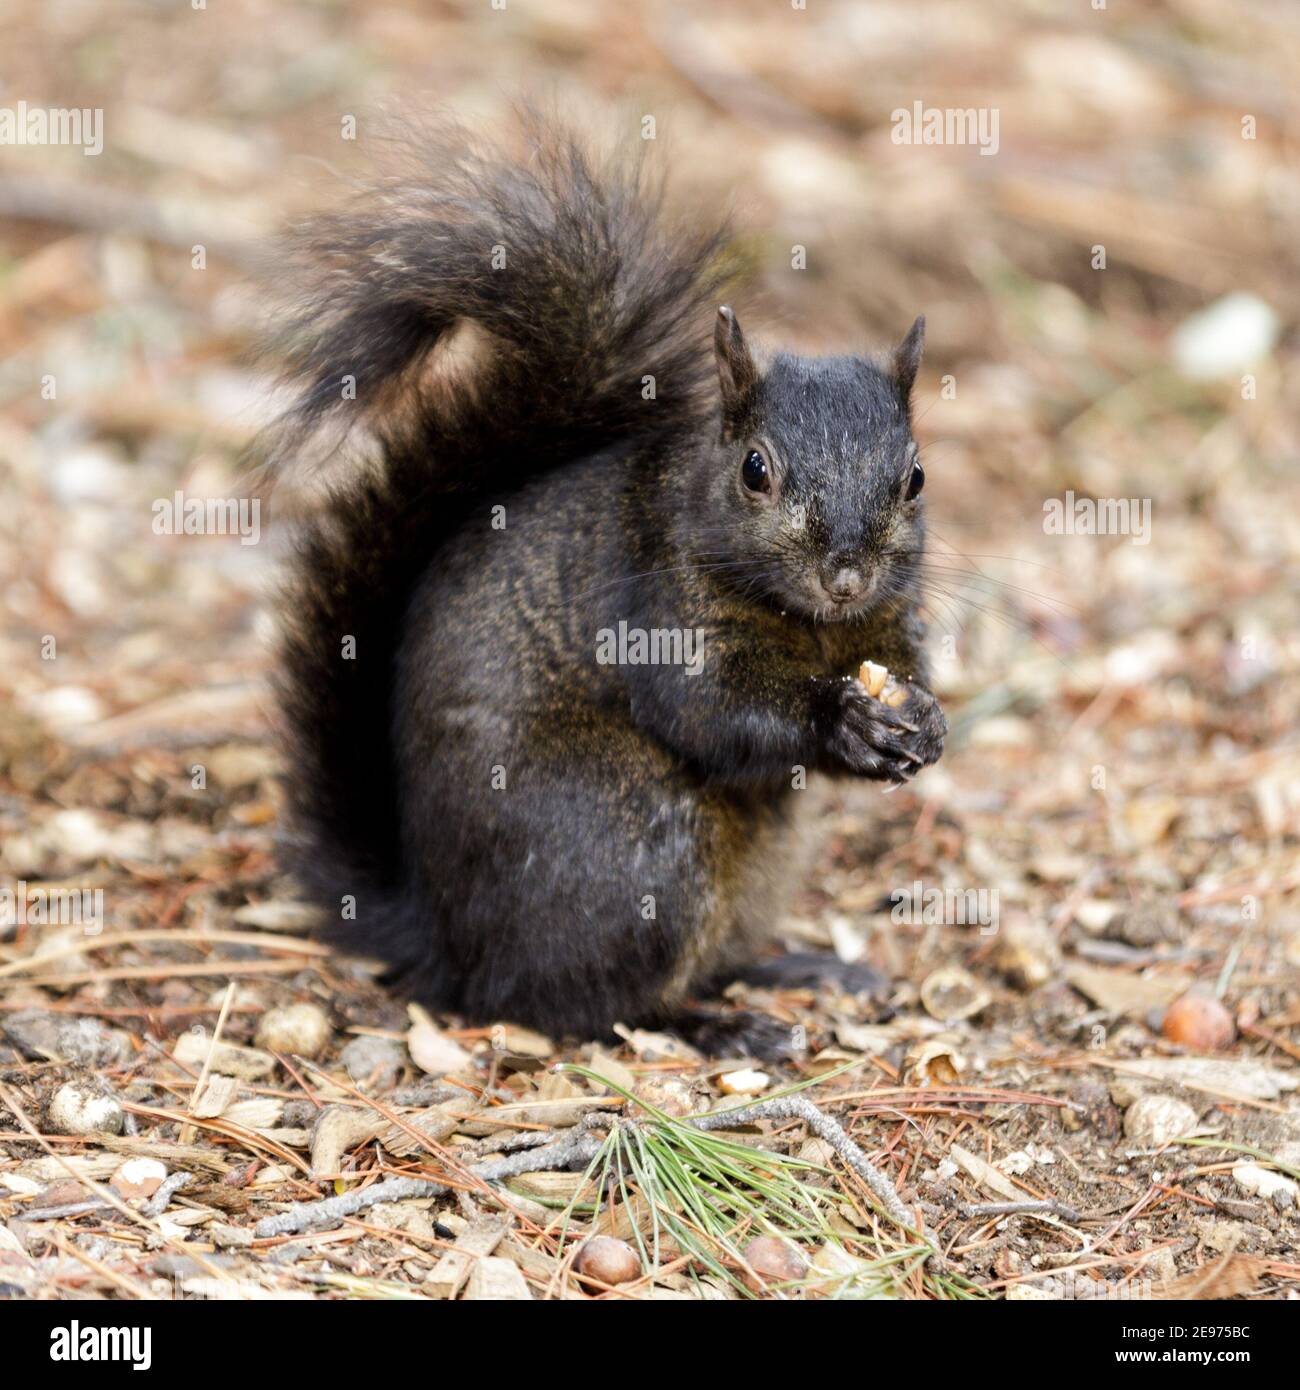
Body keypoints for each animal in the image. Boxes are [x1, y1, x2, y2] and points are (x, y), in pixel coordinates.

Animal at [261, 119, 945, 1056]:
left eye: (915, 478)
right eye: (755, 470)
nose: (845, 575)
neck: (812, 629)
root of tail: (442, 940)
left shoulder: (889, 622)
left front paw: (926, 723)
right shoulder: (659, 611)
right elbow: (710, 711)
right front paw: (840, 720)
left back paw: (797, 971)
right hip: (634, 847)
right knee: (576, 1005)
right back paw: (718, 1026)